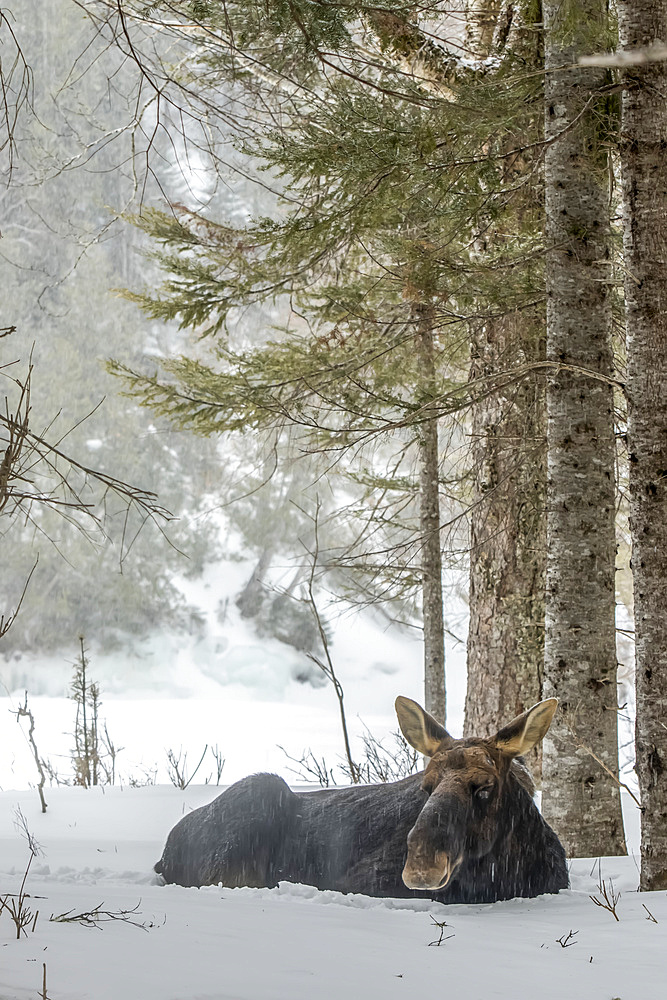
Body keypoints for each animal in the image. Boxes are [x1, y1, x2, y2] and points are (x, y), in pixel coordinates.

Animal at [155, 692, 568, 904]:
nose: (421, 865)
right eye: (426, 786)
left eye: (484, 787)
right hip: (258, 794)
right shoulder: (359, 881)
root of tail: (165, 853)